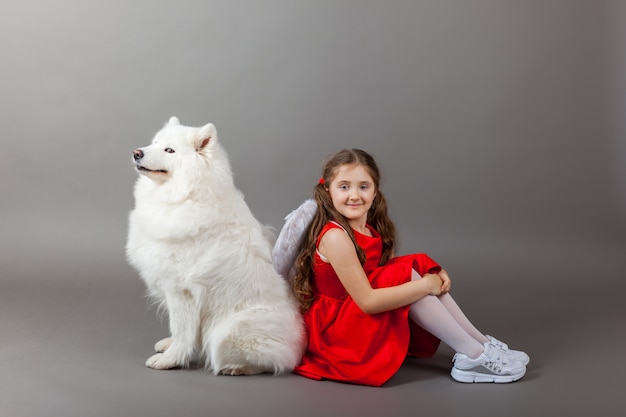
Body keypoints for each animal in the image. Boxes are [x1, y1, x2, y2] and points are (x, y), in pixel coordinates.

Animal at [125, 116, 304, 374]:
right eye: (155, 143)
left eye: (170, 150)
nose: (136, 152)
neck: (187, 195)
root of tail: (302, 348)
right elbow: (180, 330)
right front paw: (171, 347)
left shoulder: (181, 291)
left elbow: (181, 329)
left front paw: (170, 359)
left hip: (228, 331)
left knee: (275, 360)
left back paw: (237, 368)